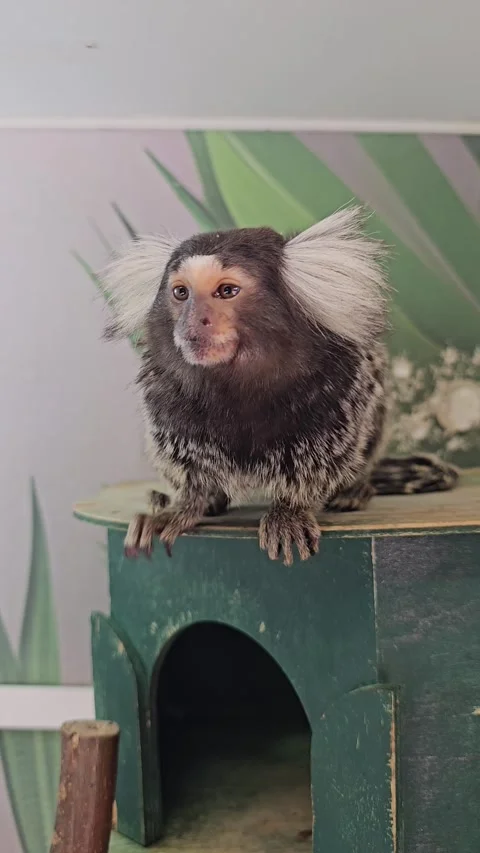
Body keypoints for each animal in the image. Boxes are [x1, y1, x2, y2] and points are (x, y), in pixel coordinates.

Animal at [99, 206, 458, 566]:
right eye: (181, 293)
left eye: (226, 291)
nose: (192, 322)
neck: (236, 385)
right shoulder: (165, 396)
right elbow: (189, 464)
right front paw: (185, 505)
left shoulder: (339, 390)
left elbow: (318, 460)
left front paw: (290, 510)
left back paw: (355, 488)